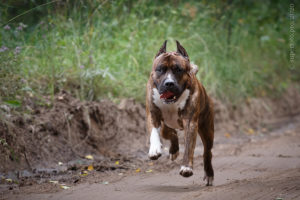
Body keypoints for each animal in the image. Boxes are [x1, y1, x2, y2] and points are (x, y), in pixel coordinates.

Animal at [146, 40, 214, 186]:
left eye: (178, 69)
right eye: (160, 69)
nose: (169, 83)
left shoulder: (190, 122)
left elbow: (189, 146)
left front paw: (186, 168)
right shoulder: (153, 115)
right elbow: (154, 132)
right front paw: (155, 148)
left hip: (207, 130)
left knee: (207, 152)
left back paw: (209, 174)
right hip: (167, 123)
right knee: (169, 133)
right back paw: (173, 149)